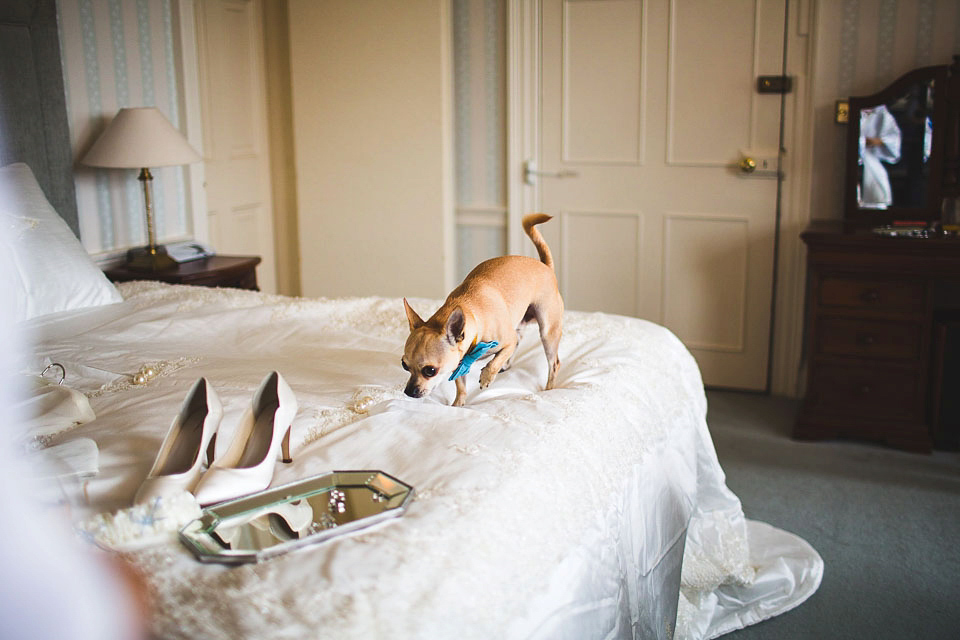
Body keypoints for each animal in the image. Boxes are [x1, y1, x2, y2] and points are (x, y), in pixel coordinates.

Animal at [400, 214, 564, 404]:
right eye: (404, 365)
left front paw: (487, 376)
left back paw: (548, 389)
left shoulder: (507, 342)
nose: (408, 392)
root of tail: (545, 266)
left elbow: (495, 360)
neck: (472, 313)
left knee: (553, 363)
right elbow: (461, 386)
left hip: (547, 330)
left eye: (430, 371)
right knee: (519, 340)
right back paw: (507, 365)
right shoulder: (460, 362)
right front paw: (458, 404)